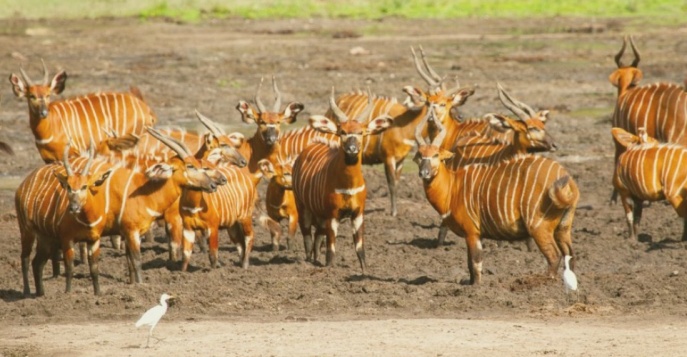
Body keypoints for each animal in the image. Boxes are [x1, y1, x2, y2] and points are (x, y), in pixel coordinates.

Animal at [7, 60, 158, 163]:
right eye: (31, 96)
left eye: (48, 95)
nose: (43, 113)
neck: (48, 131)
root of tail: (147, 110)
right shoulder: (49, 160)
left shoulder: (73, 154)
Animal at [292, 88, 392, 270]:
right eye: (342, 132)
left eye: (361, 132)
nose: (352, 149)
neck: (348, 185)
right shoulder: (333, 215)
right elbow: (331, 250)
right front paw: (329, 269)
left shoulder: (358, 214)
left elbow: (360, 249)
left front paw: (364, 271)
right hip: (302, 206)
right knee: (307, 236)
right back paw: (308, 262)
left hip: (320, 215)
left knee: (317, 236)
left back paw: (316, 260)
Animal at [416, 109, 576, 284]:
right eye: (420, 155)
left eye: (436, 155)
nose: (424, 172)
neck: (453, 186)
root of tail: (567, 177)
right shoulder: (473, 234)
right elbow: (470, 264)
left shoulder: (472, 232)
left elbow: (475, 263)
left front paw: (476, 287)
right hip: (563, 228)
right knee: (570, 255)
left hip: (539, 227)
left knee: (554, 256)